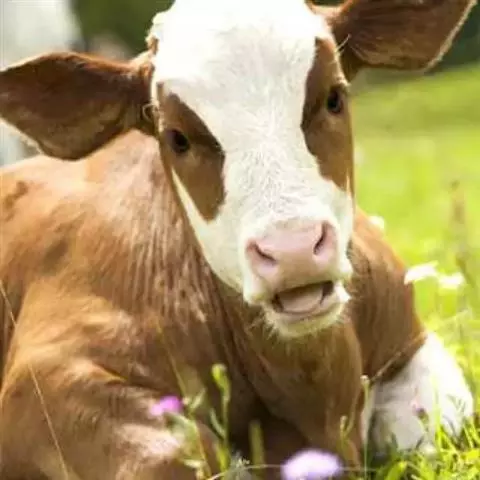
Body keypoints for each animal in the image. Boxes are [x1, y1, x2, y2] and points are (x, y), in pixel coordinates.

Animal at [0, 0, 476, 478]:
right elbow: (184, 453)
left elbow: (426, 428)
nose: (293, 250)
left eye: (333, 97)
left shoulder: (411, 340)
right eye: (177, 138)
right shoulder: (45, 379)